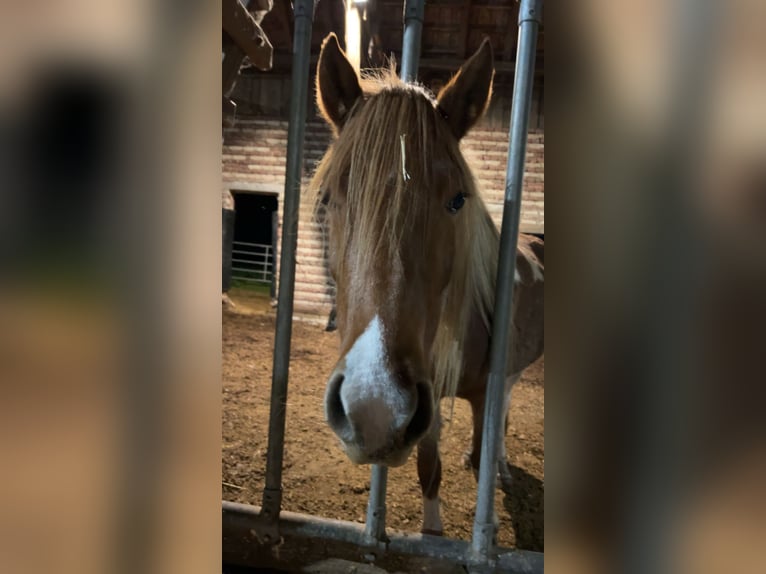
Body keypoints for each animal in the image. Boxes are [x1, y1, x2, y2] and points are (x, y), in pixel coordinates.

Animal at [309, 33, 544, 536]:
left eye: (457, 200)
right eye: (328, 198)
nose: (373, 408)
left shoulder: (481, 389)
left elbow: (486, 446)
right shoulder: (429, 394)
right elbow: (429, 468)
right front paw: (432, 530)